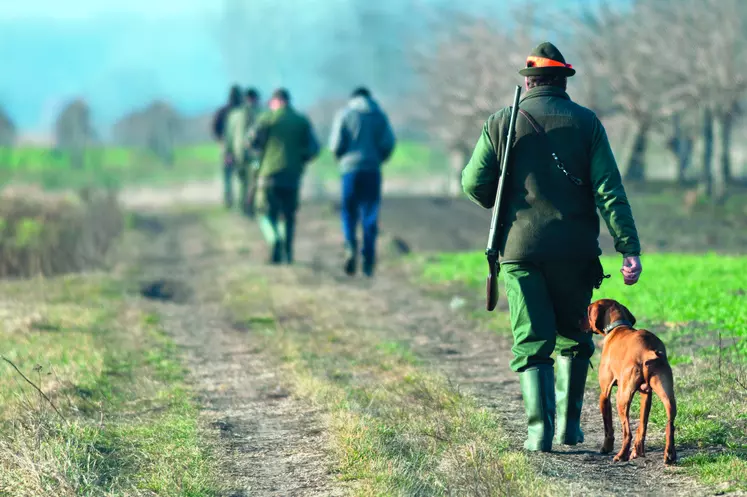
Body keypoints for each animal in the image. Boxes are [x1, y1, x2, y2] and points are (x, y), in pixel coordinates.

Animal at [584, 298, 676, 464]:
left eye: (586, 310)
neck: (618, 327)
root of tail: (647, 350)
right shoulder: (646, 394)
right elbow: (642, 425)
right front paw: (638, 451)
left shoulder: (604, 394)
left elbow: (608, 427)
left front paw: (606, 448)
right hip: (667, 395)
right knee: (669, 425)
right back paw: (669, 455)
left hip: (622, 397)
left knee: (627, 432)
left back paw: (621, 455)